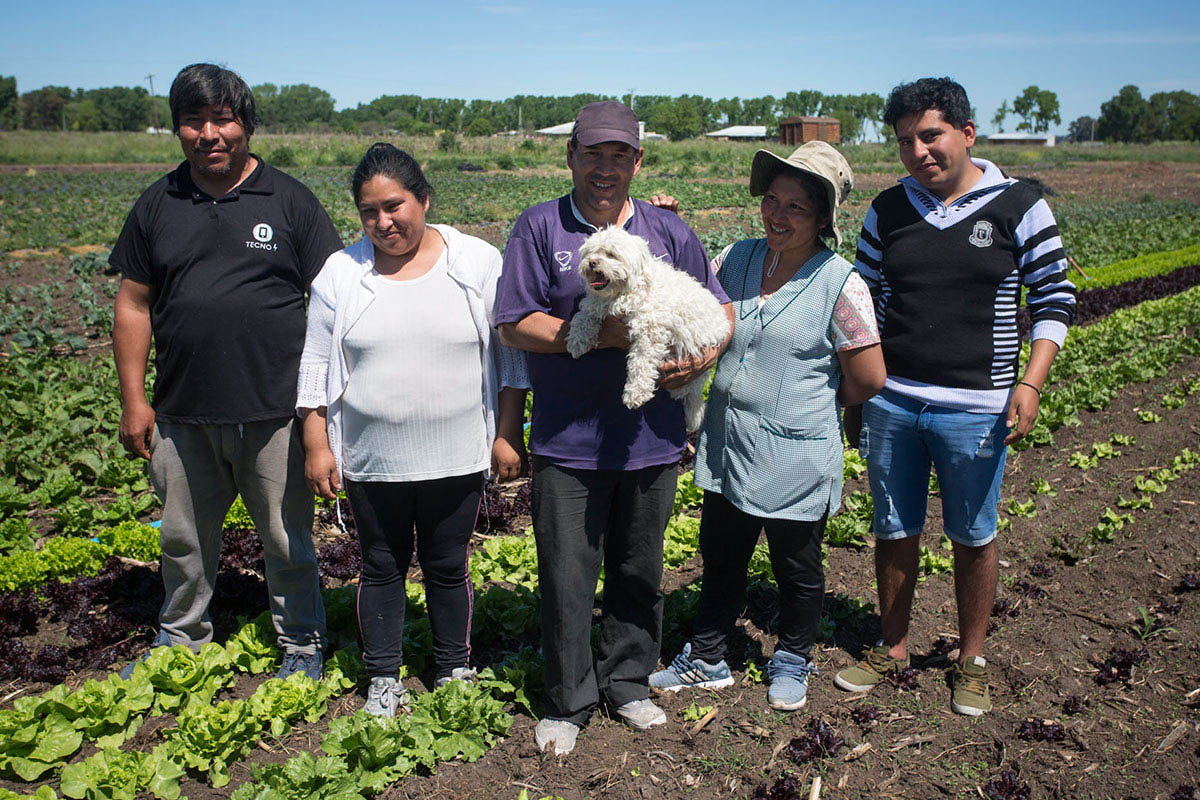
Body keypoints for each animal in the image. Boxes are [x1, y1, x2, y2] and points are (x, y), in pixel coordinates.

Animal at [564, 225, 724, 431]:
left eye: (611, 254)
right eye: (591, 252)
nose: (592, 262)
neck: (622, 292)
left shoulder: (649, 331)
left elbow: (640, 362)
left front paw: (635, 393)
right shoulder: (596, 305)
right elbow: (582, 316)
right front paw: (577, 341)